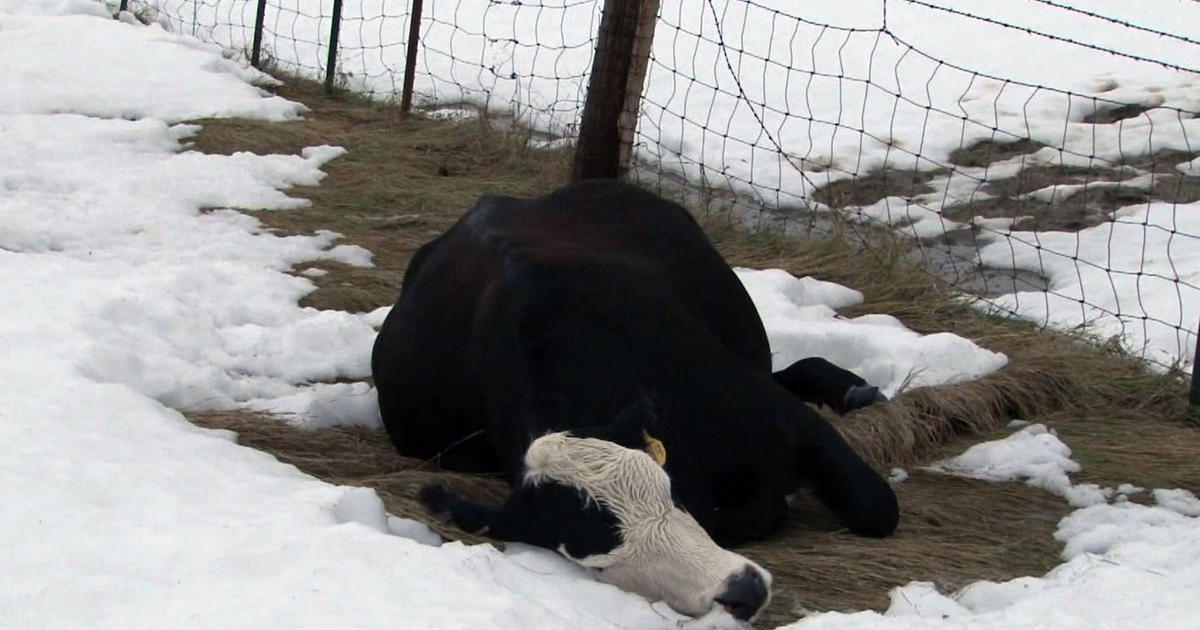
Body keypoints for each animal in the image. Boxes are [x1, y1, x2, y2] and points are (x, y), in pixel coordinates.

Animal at [369, 178, 897, 619]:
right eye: (599, 564)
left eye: (669, 493)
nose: (741, 592)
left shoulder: (780, 415)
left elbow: (876, 508)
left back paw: (852, 388)